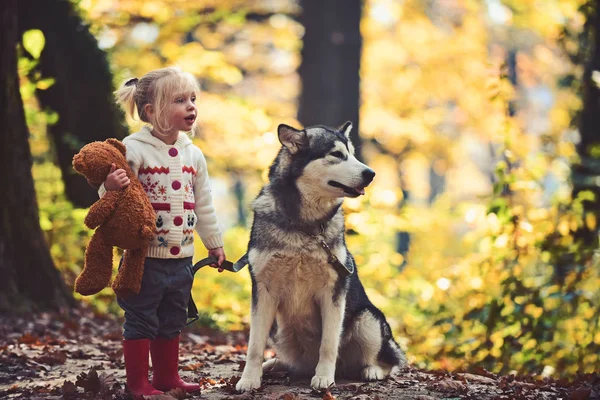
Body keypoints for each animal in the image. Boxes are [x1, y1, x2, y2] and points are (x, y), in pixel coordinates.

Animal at [236, 121, 408, 390]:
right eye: (336, 154)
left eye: (353, 154)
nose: (371, 174)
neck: (304, 226)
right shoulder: (263, 290)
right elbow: (254, 345)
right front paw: (249, 379)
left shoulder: (333, 291)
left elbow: (328, 344)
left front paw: (325, 377)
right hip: (279, 331)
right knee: (288, 362)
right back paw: (274, 365)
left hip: (367, 319)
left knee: (387, 361)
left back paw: (371, 370)